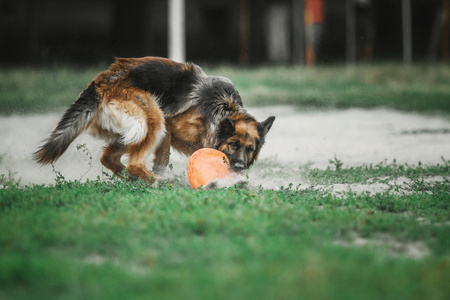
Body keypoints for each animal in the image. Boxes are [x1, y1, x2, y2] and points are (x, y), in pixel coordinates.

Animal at [35, 56, 274, 183]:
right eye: (233, 144)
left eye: (250, 149)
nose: (241, 167)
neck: (223, 109)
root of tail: (101, 81)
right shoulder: (169, 126)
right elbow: (162, 159)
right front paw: (162, 174)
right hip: (154, 119)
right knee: (134, 164)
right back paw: (158, 181)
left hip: (135, 129)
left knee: (108, 157)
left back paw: (133, 181)